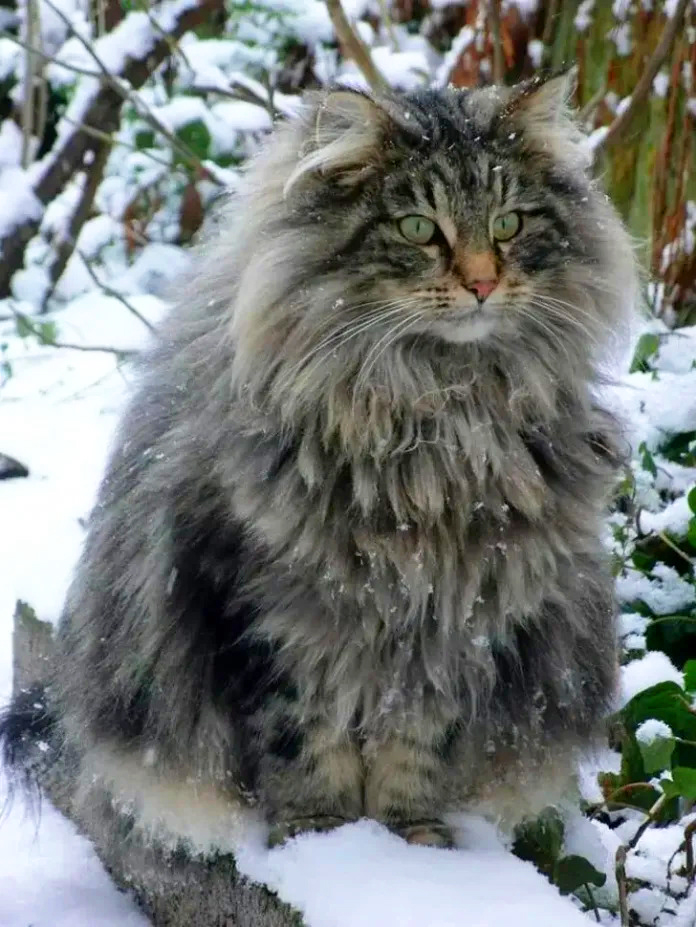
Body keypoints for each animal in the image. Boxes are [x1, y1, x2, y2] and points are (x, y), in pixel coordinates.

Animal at [1, 72, 640, 856]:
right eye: (419, 229)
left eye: (510, 224)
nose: (484, 284)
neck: (437, 415)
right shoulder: (272, 611)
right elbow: (304, 741)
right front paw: (322, 839)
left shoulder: (453, 617)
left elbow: (413, 745)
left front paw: (409, 840)